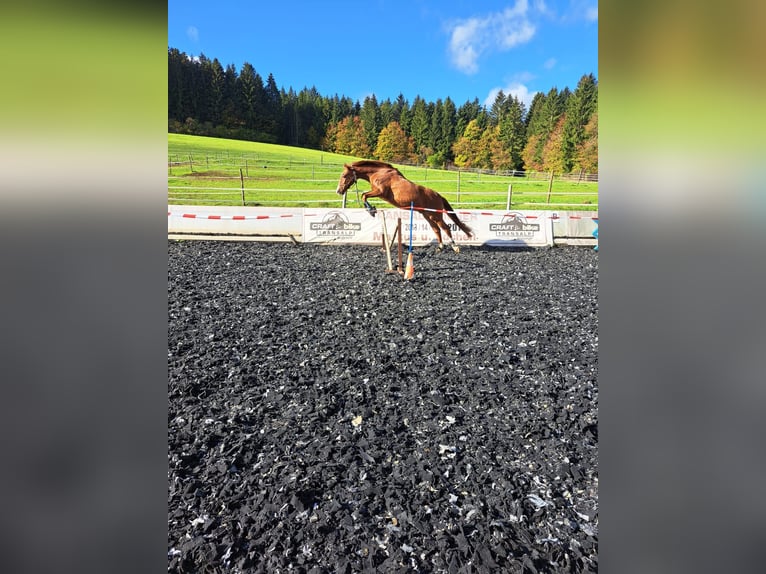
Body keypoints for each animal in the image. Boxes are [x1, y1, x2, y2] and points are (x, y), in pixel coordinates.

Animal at [336, 161, 474, 253]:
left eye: (344, 176)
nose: (339, 191)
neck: (379, 173)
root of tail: (438, 195)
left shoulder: (380, 192)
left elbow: (364, 195)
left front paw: (371, 210)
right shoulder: (377, 192)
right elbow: (364, 196)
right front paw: (371, 209)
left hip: (435, 215)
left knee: (445, 228)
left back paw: (455, 246)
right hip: (427, 215)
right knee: (436, 229)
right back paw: (440, 247)